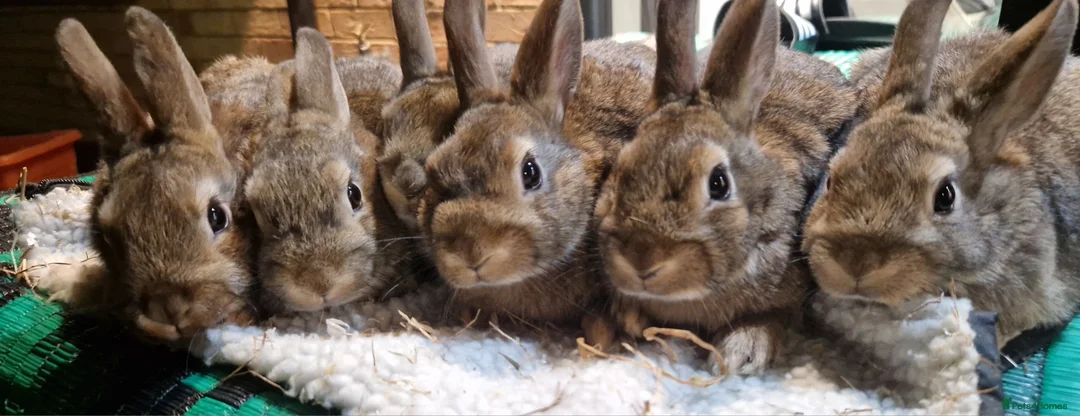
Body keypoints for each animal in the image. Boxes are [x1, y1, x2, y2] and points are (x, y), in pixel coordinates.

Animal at [593, 0, 857, 375]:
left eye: (719, 184)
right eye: (620, 165)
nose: (642, 262)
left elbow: (772, 318)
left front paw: (740, 353)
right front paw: (620, 322)